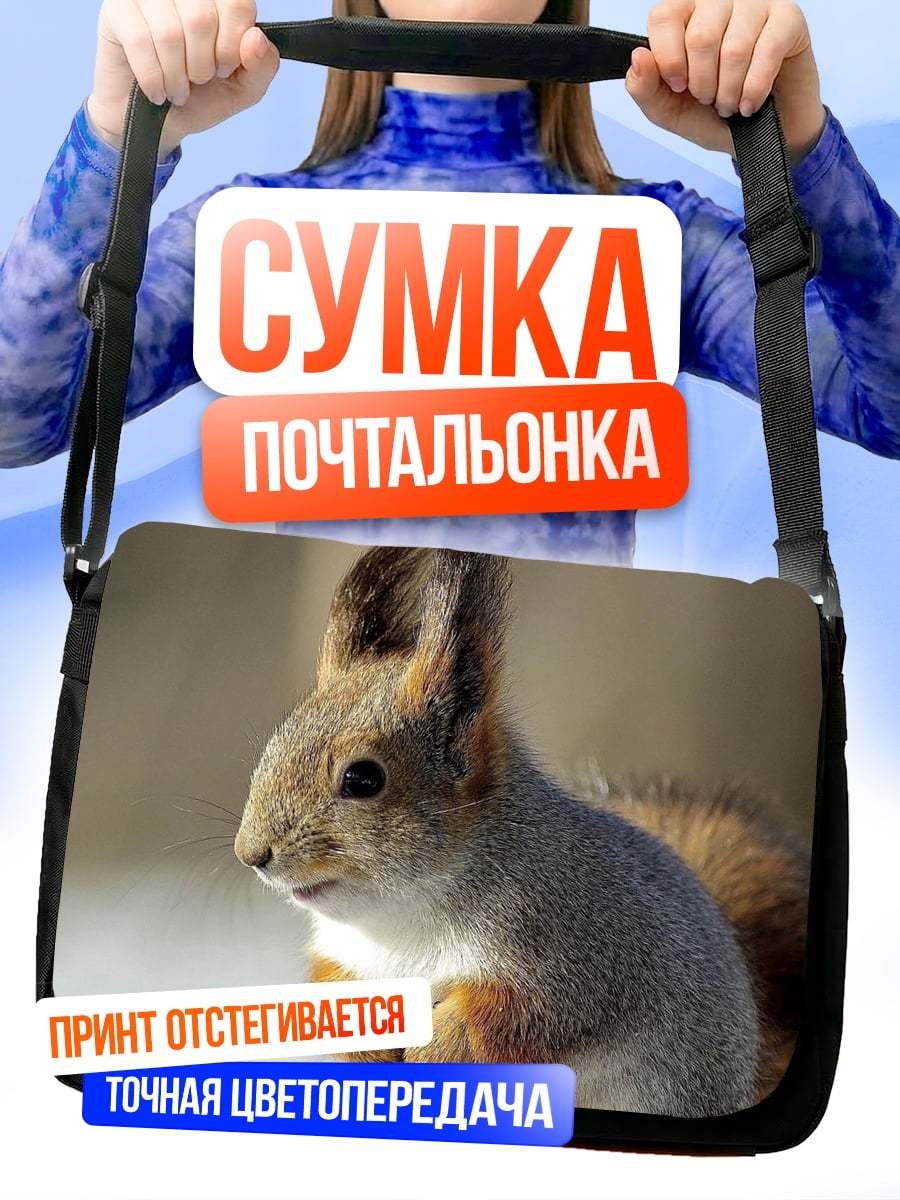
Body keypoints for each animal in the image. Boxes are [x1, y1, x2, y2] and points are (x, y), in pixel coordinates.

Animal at [235, 546, 809, 1117]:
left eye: (362, 778)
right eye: (274, 745)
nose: (251, 854)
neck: (405, 918)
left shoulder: (592, 958)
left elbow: (524, 1015)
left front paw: (443, 1041)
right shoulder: (343, 956)